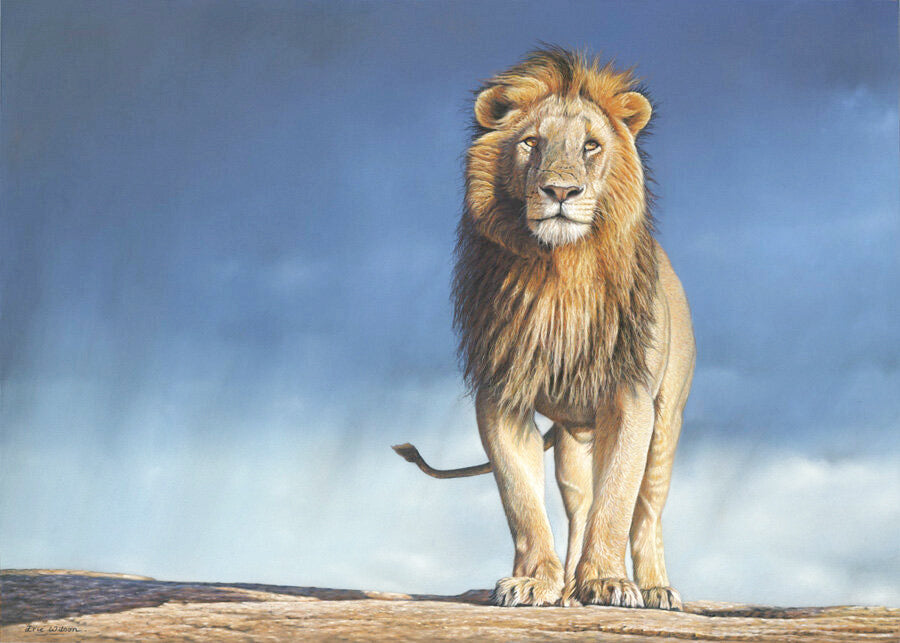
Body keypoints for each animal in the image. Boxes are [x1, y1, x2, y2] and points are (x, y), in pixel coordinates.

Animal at [393, 47, 695, 610]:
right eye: (531, 142)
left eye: (591, 145)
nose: (559, 189)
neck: (559, 272)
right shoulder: (500, 395)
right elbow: (521, 500)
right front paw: (535, 581)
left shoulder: (631, 397)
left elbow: (617, 500)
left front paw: (610, 582)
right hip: (575, 442)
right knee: (579, 505)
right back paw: (570, 589)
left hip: (667, 420)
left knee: (646, 510)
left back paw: (654, 587)